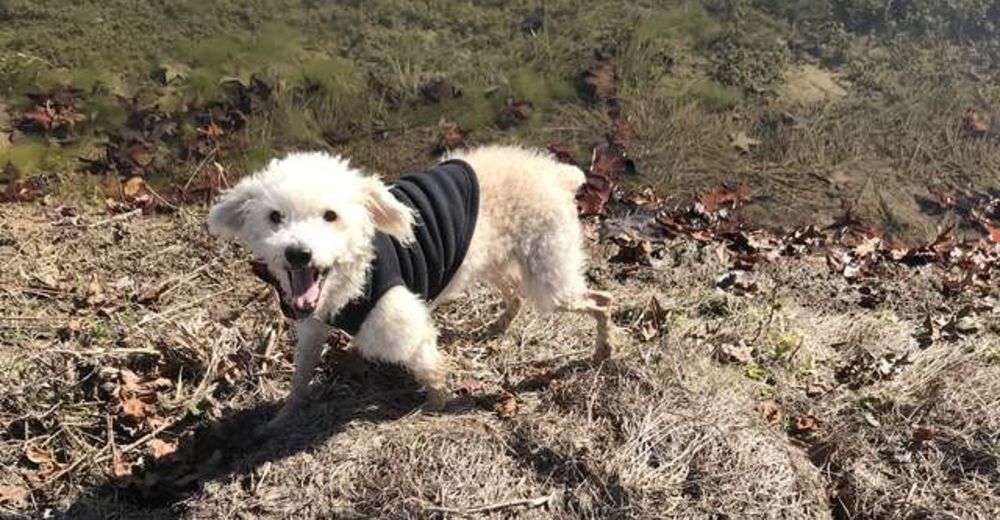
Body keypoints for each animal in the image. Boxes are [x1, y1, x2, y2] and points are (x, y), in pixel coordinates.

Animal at [208, 146, 612, 430]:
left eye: (330, 216)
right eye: (274, 217)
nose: (297, 253)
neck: (354, 273)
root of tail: (555, 173)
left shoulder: (407, 330)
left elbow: (432, 372)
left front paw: (434, 408)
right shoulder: (312, 327)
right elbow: (299, 379)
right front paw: (281, 419)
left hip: (550, 278)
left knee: (602, 300)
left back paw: (603, 352)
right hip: (492, 260)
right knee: (515, 295)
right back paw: (498, 328)